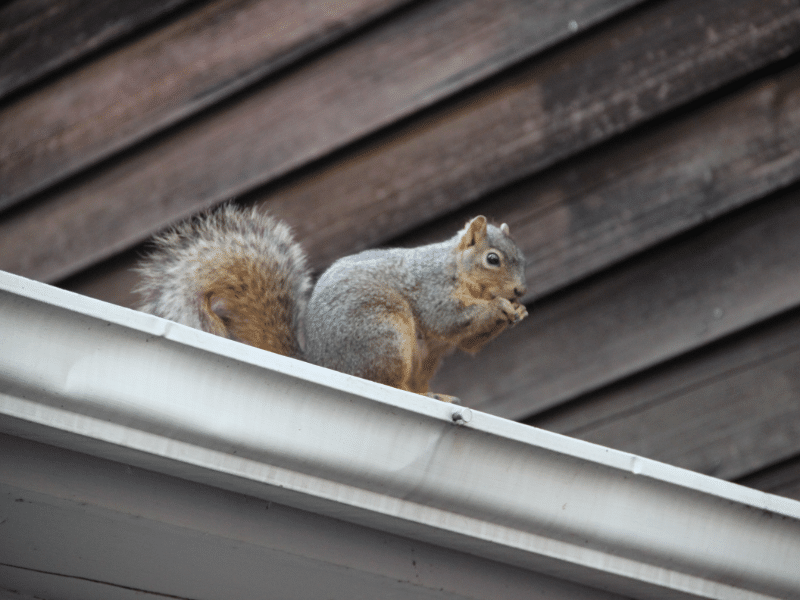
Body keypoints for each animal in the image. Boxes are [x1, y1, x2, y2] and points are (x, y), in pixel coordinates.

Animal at [135, 204, 528, 403]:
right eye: (493, 259)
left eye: (521, 257)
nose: (520, 291)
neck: (456, 269)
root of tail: (322, 364)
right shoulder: (432, 289)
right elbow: (449, 319)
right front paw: (499, 308)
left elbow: (468, 342)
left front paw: (518, 313)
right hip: (384, 334)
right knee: (386, 382)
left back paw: (436, 396)